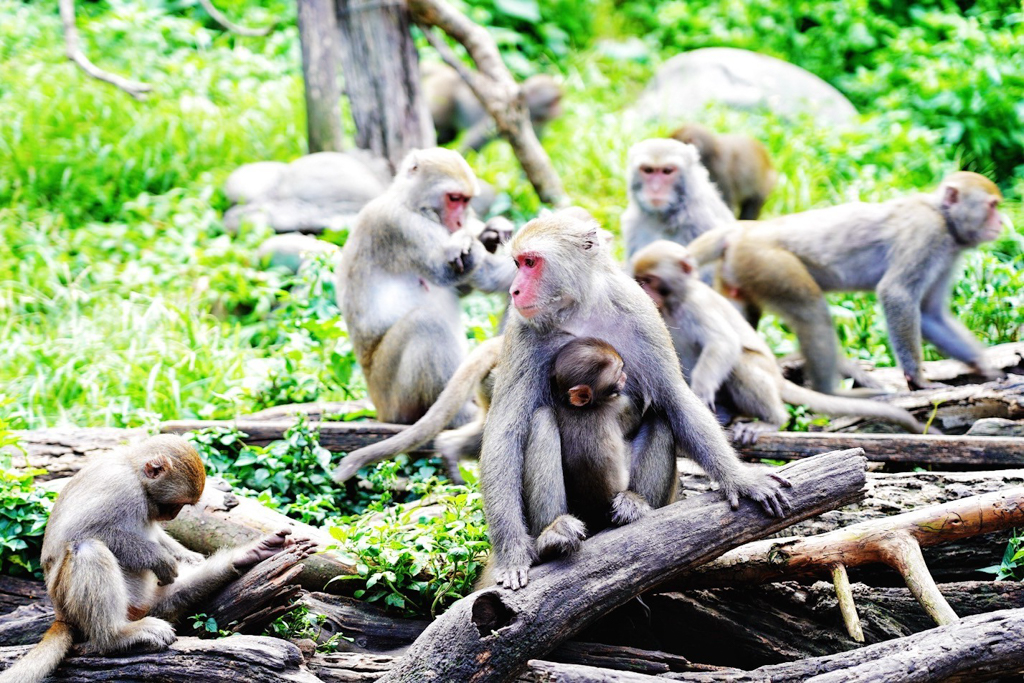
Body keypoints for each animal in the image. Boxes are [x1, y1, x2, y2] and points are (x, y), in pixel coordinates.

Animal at [2, 438, 294, 683]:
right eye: (175, 503)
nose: (174, 515)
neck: (134, 472)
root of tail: (61, 614)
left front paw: (190, 556)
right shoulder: (120, 487)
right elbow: (77, 532)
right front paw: (158, 559)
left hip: (150, 602)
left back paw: (247, 555)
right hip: (67, 597)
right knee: (88, 548)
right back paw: (116, 636)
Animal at [481, 206, 790, 589]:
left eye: (530, 262)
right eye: (518, 263)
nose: (515, 290)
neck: (581, 309)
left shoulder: (641, 312)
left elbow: (675, 399)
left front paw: (743, 480)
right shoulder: (522, 331)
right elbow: (505, 432)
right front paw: (512, 552)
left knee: (660, 413)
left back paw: (635, 507)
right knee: (540, 422)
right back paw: (554, 535)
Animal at [626, 240, 933, 444]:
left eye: (650, 280)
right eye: (639, 280)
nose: (643, 291)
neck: (672, 305)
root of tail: (777, 378)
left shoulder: (697, 305)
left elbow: (723, 343)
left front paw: (700, 393)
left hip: (764, 373)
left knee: (741, 362)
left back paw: (772, 420)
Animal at [688, 171, 1007, 395]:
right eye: (992, 206)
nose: (1002, 223)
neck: (943, 216)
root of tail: (744, 230)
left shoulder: (949, 253)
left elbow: (930, 314)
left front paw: (984, 367)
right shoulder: (927, 232)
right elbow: (897, 294)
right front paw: (917, 379)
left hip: (739, 273)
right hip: (765, 261)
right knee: (811, 311)